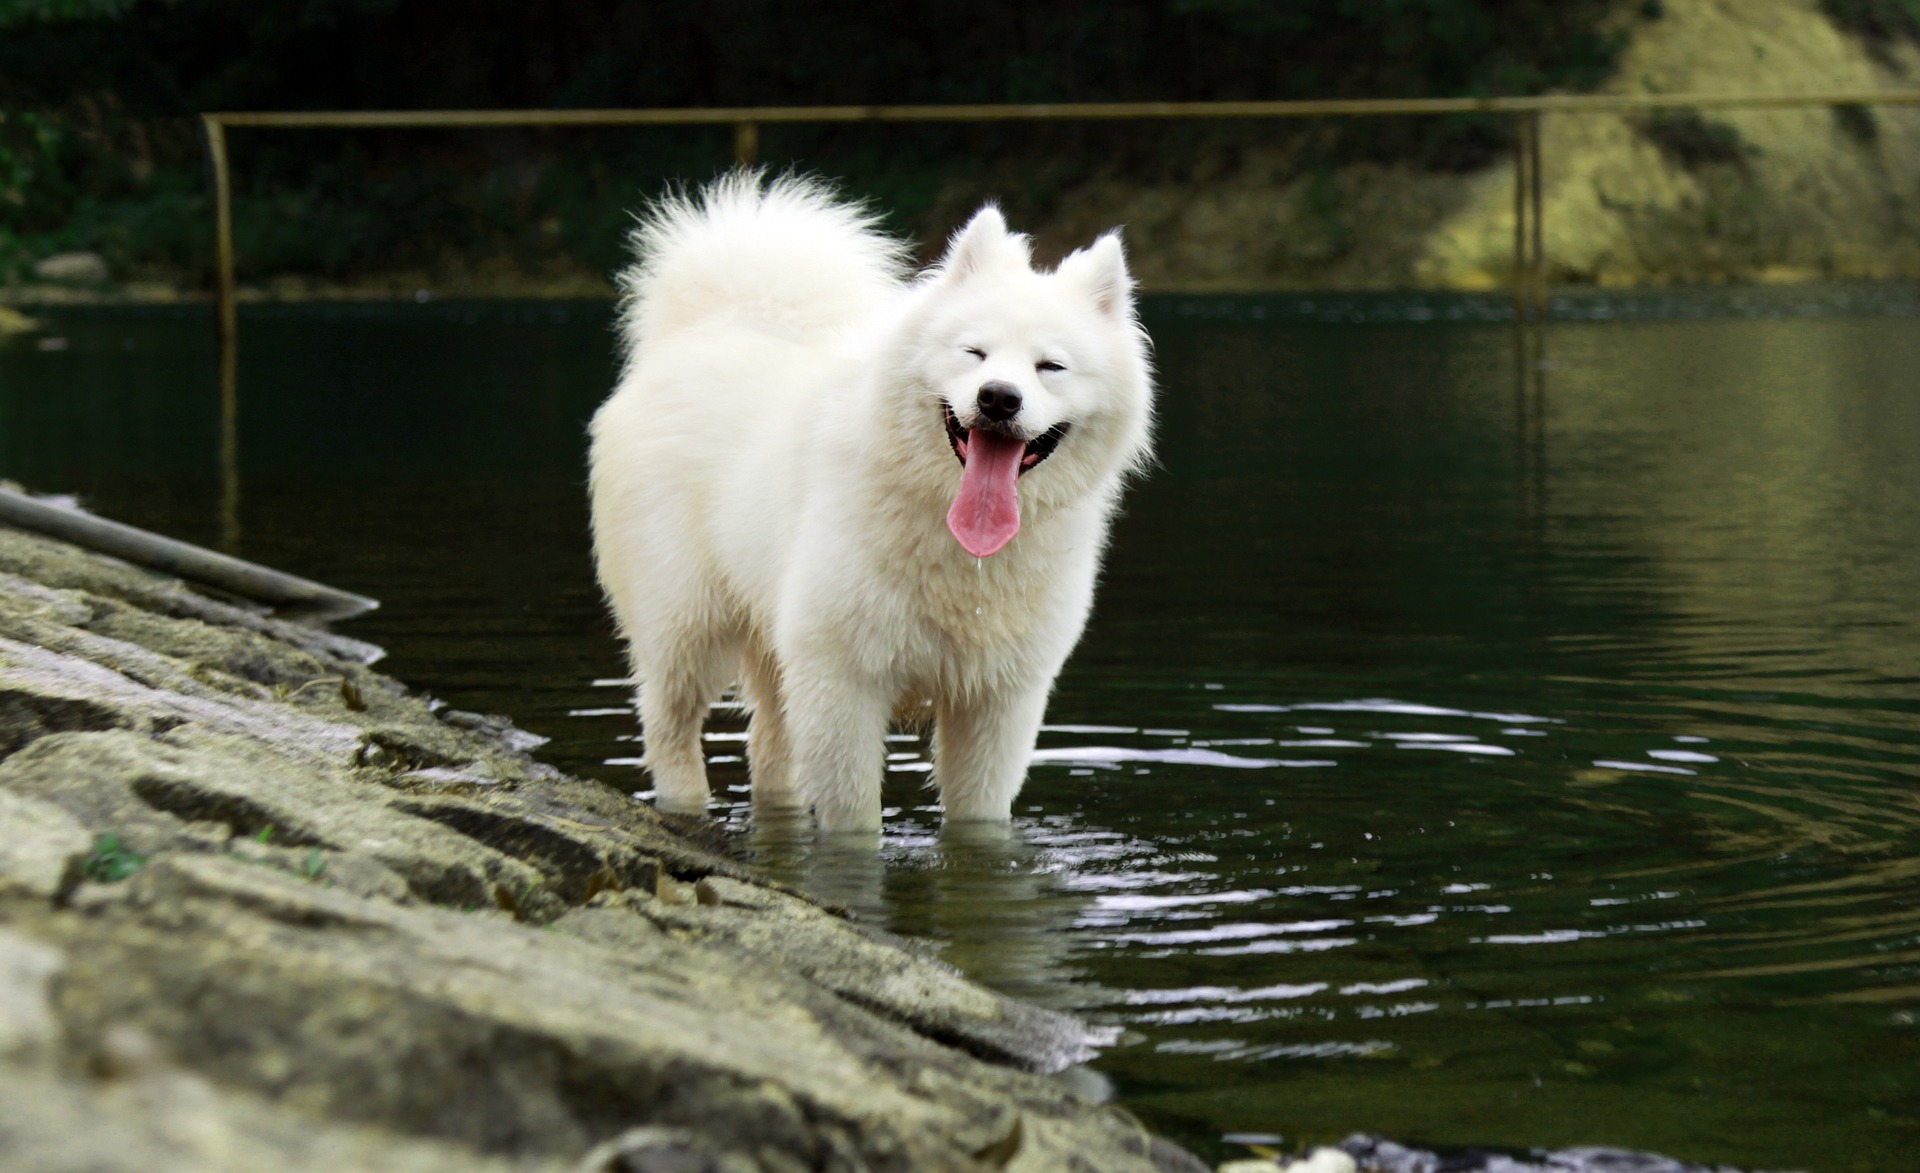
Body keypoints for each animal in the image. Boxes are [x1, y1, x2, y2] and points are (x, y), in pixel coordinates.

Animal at [583, 176, 1152, 837]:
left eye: (1050, 366)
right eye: (975, 353)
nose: (998, 398)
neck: (956, 543)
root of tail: (710, 325)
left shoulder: (997, 700)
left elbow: (977, 822)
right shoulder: (843, 684)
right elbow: (854, 824)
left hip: (775, 645)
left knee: (769, 749)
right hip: (687, 625)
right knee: (670, 727)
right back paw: (685, 805)